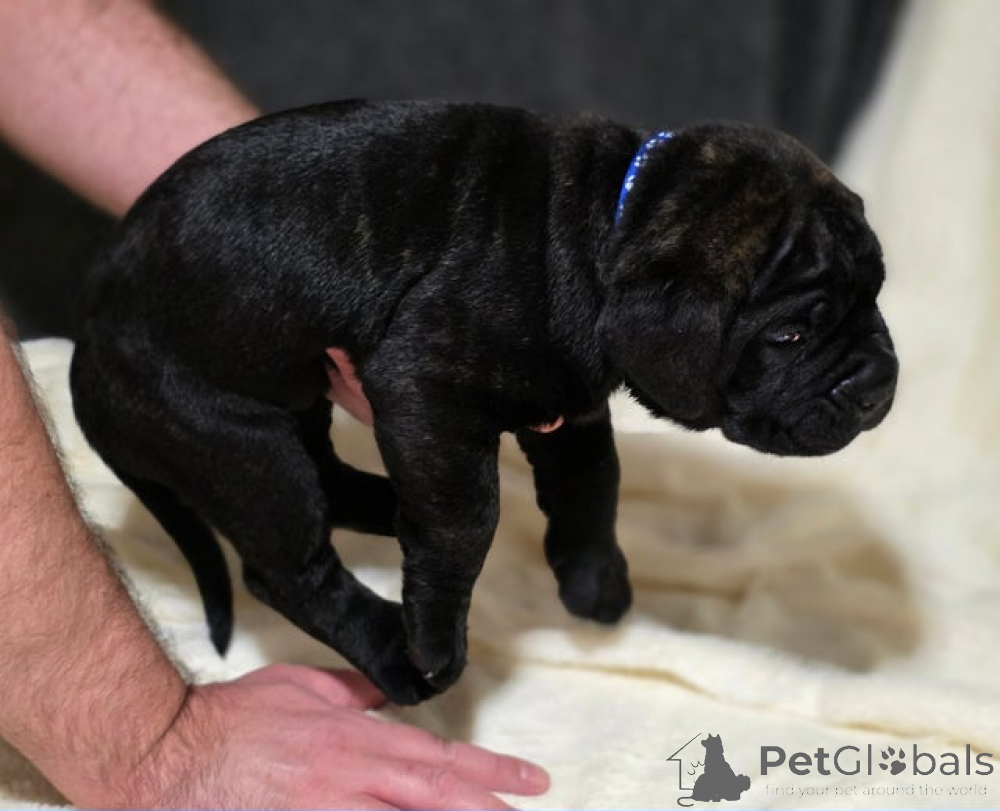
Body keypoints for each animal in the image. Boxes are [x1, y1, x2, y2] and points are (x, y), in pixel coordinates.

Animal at [70, 100, 898, 705]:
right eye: (790, 333)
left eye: (877, 291)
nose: (877, 384)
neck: (609, 221)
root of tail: (89, 339)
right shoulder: (423, 383)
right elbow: (467, 518)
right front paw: (436, 632)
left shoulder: (571, 413)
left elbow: (593, 488)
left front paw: (595, 582)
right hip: (238, 439)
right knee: (288, 565)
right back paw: (396, 653)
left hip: (293, 401)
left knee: (328, 479)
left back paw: (392, 510)